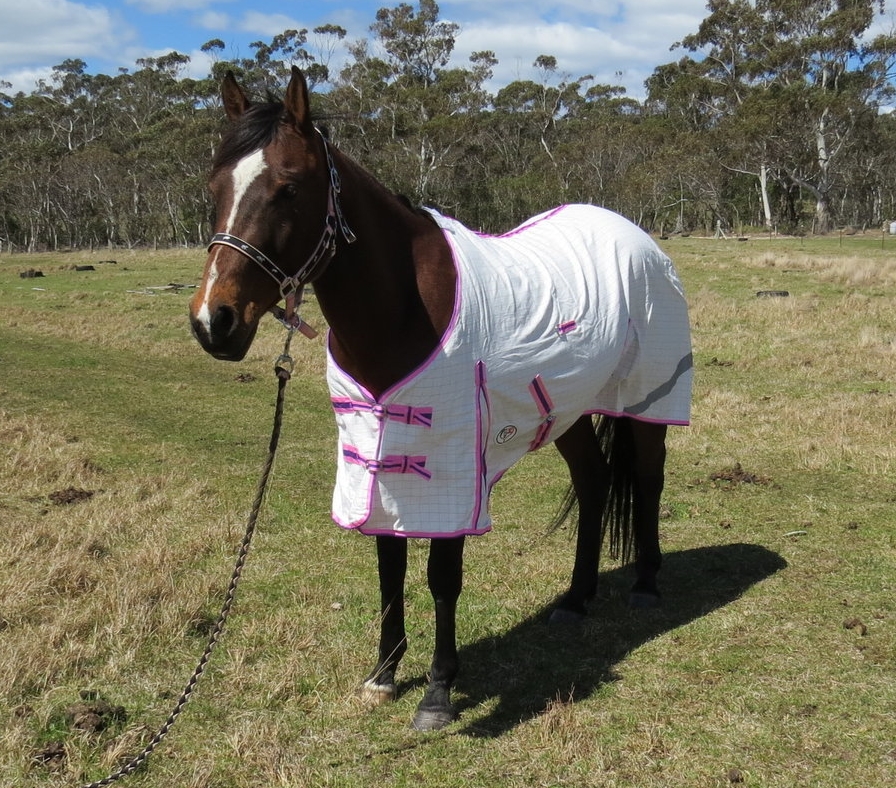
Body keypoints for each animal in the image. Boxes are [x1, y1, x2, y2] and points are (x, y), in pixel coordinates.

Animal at [189, 67, 693, 731]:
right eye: (214, 186)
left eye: (289, 188)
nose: (213, 323)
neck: (404, 307)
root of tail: (635, 235)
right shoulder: (382, 454)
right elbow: (389, 566)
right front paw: (382, 675)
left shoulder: (454, 460)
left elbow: (441, 575)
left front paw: (437, 691)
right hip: (569, 411)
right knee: (593, 482)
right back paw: (576, 599)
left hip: (644, 403)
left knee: (648, 479)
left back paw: (646, 586)